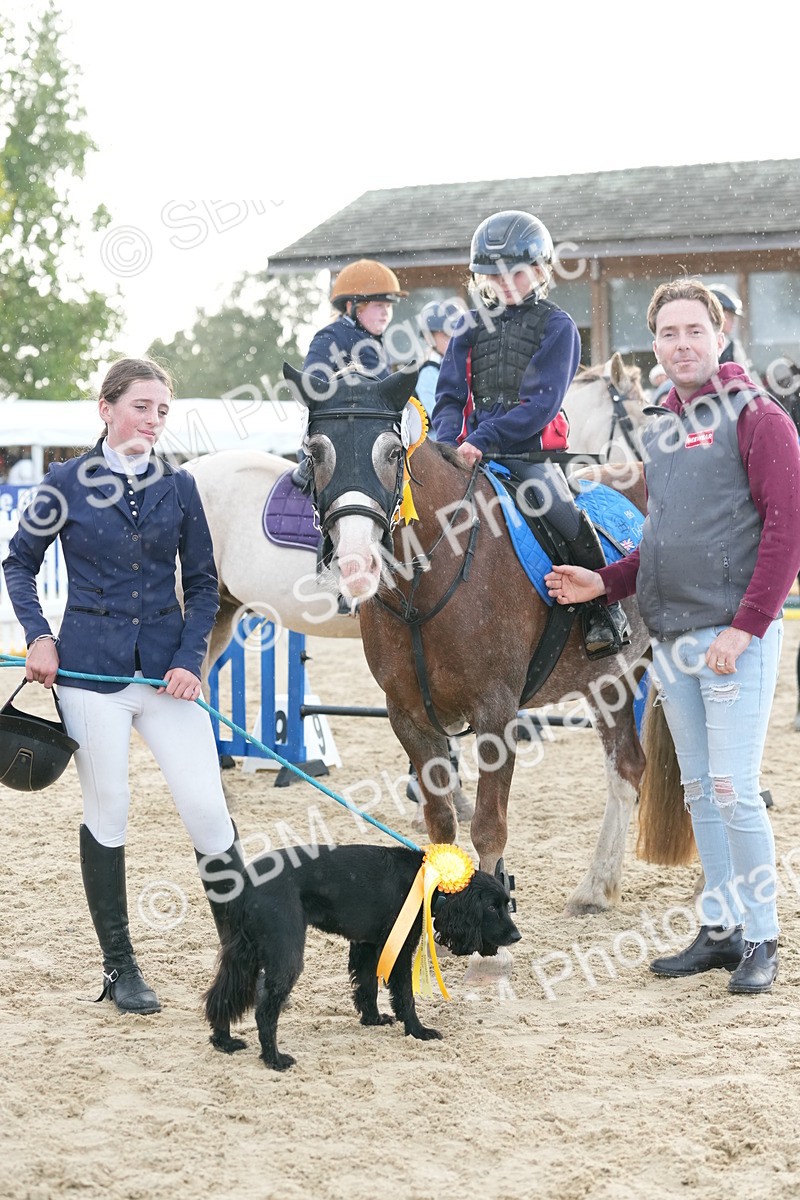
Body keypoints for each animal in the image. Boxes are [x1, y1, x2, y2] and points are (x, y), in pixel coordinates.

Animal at [273, 362, 660, 918]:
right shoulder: (408, 715)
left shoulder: (496, 712)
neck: (427, 579)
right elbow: (441, 827)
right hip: (611, 679)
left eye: (392, 453)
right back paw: (596, 889)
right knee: (627, 768)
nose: (356, 563)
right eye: (314, 452)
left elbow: (488, 829)